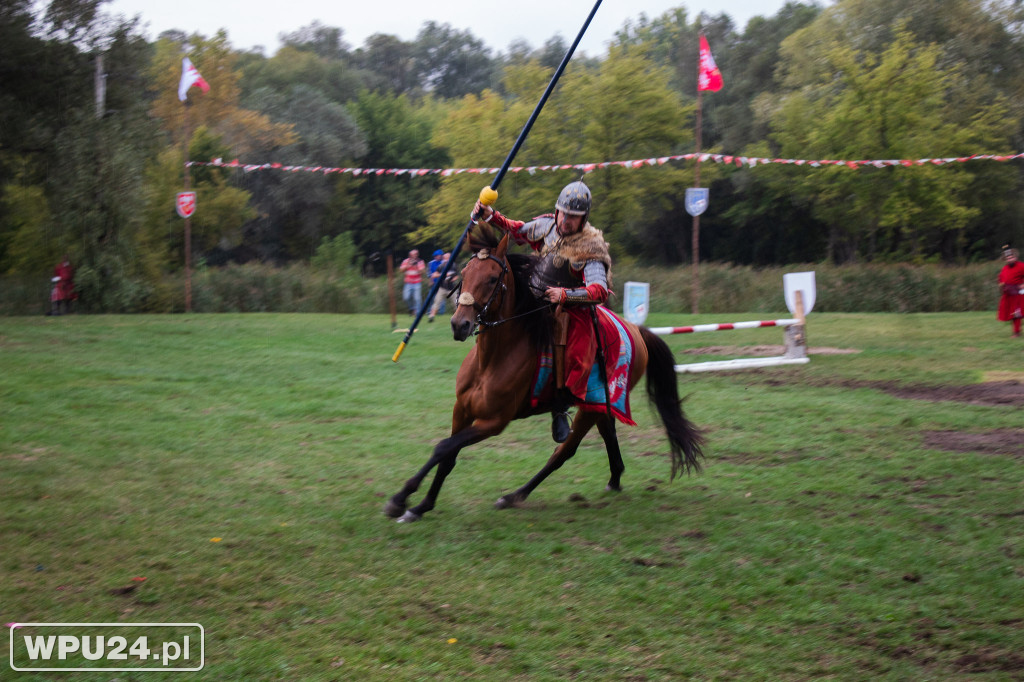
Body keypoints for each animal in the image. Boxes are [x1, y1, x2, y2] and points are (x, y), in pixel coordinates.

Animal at [385, 228, 704, 520]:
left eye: (492, 278)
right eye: (464, 272)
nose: (459, 324)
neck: (491, 361)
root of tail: (636, 330)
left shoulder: (493, 422)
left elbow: (443, 448)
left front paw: (401, 499)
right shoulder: (461, 410)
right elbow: (447, 456)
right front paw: (421, 505)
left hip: (589, 408)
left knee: (563, 453)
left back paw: (515, 495)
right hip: (599, 404)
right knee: (607, 433)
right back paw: (614, 479)